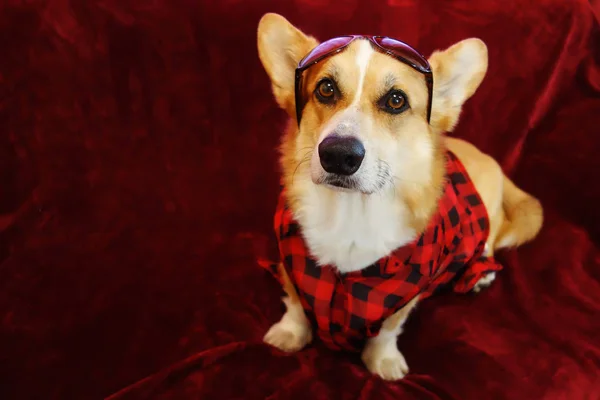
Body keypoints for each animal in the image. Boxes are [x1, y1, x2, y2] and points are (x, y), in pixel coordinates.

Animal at [256, 13, 544, 382]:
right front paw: (289, 334)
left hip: (489, 219)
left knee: (489, 244)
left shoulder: (408, 290)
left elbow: (389, 328)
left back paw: (481, 274)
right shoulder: (290, 262)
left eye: (396, 100)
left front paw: (383, 362)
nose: (338, 155)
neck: (352, 213)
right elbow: (295, 303)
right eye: (326, 88)